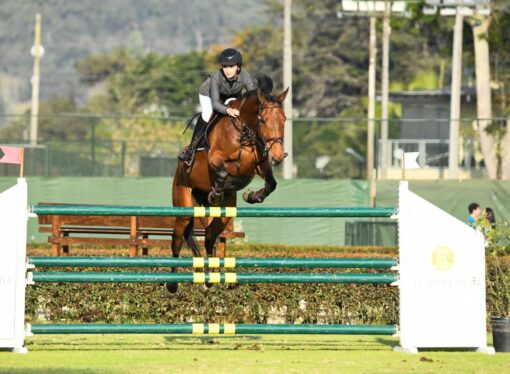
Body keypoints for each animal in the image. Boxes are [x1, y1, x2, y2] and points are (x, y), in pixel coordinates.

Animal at [166, 76, 286, 296]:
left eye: (284, 120)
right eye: (263, 120)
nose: (278, 156)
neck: (242, 132)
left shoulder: (259, 165)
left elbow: (271, 183)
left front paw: (252, 196)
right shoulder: (215, 158)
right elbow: (222, 173)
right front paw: (217, 192)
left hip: (224, 216)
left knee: (209, 236)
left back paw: (208, 281)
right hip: (184, 206)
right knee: (177, 239)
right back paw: (171, 285)